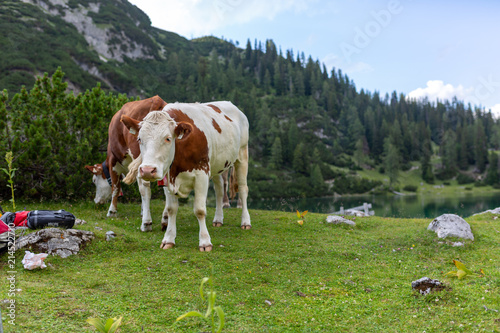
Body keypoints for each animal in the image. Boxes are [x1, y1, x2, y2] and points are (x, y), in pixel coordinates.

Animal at [84, 95, 170, 231]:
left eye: (94, 181)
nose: (96, 201)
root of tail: (156, 99)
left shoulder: (113, 162)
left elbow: (115, 187)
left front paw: (112, 211)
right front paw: (143, 210)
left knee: (145, 187)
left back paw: (146, 223)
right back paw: (165, 220)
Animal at [121, 101, 250, 252]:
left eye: (168, 138)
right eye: (139, 139)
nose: (147, 170)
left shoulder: (201, 175)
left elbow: (200, 210)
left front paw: (205, 242)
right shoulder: (168, 178)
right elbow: (171, 209)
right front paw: (168, 239)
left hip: (242, 155)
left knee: (243, 189)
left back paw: (245, 221)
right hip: (217, 164)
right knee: (219, 190)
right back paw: (218, 219)